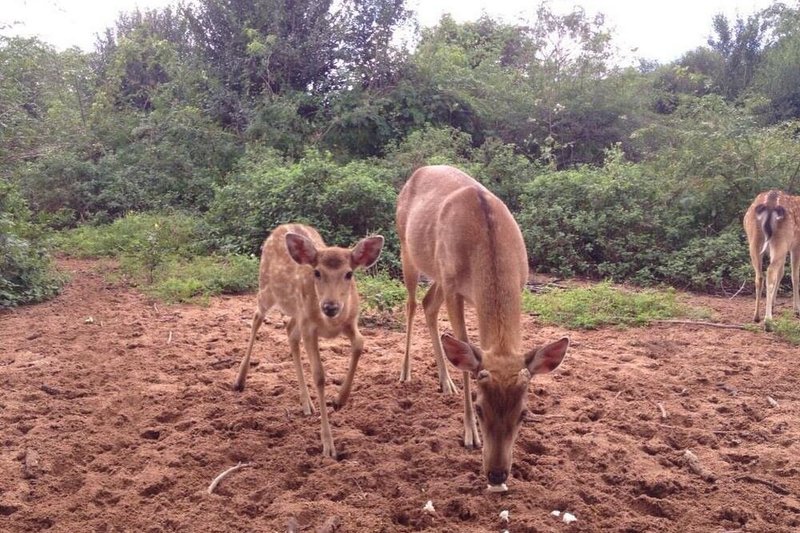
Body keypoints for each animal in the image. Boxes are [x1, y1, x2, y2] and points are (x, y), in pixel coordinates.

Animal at [231, 223, 384, 458]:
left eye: (349, 273)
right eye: (317, 272)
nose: (330, 306)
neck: (329, 323)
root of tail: (280, 228)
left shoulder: (349, 321)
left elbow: (360, 343)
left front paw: (339, 400)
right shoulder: (310, 327)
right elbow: (319, 376)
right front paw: (328, 446)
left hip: (296, 312)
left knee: (289, 330)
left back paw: (306, 404)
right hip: (266, 288)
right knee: (257, 317)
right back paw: (240, 380)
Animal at [396, 164, 568, 488]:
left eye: (524, 413)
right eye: (478, 407)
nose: (497, 474)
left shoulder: (519, 281)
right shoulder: (454, 290)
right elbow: (465, 357)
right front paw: (469, 435)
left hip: (437, 273)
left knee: (428, 304)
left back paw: (445, 383)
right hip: (407, 248)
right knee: (412, 303)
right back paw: (405, 373)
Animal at [744, 189, 800, 322]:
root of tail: (770, 204)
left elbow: (781, 273)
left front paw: (773, 305)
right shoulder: (795, 246)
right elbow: (795, 276)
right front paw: (796, 309)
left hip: (754, 240)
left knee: (760, 276)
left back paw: (757, 316)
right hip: (781, 239)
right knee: (770, 272)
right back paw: (768, 320)